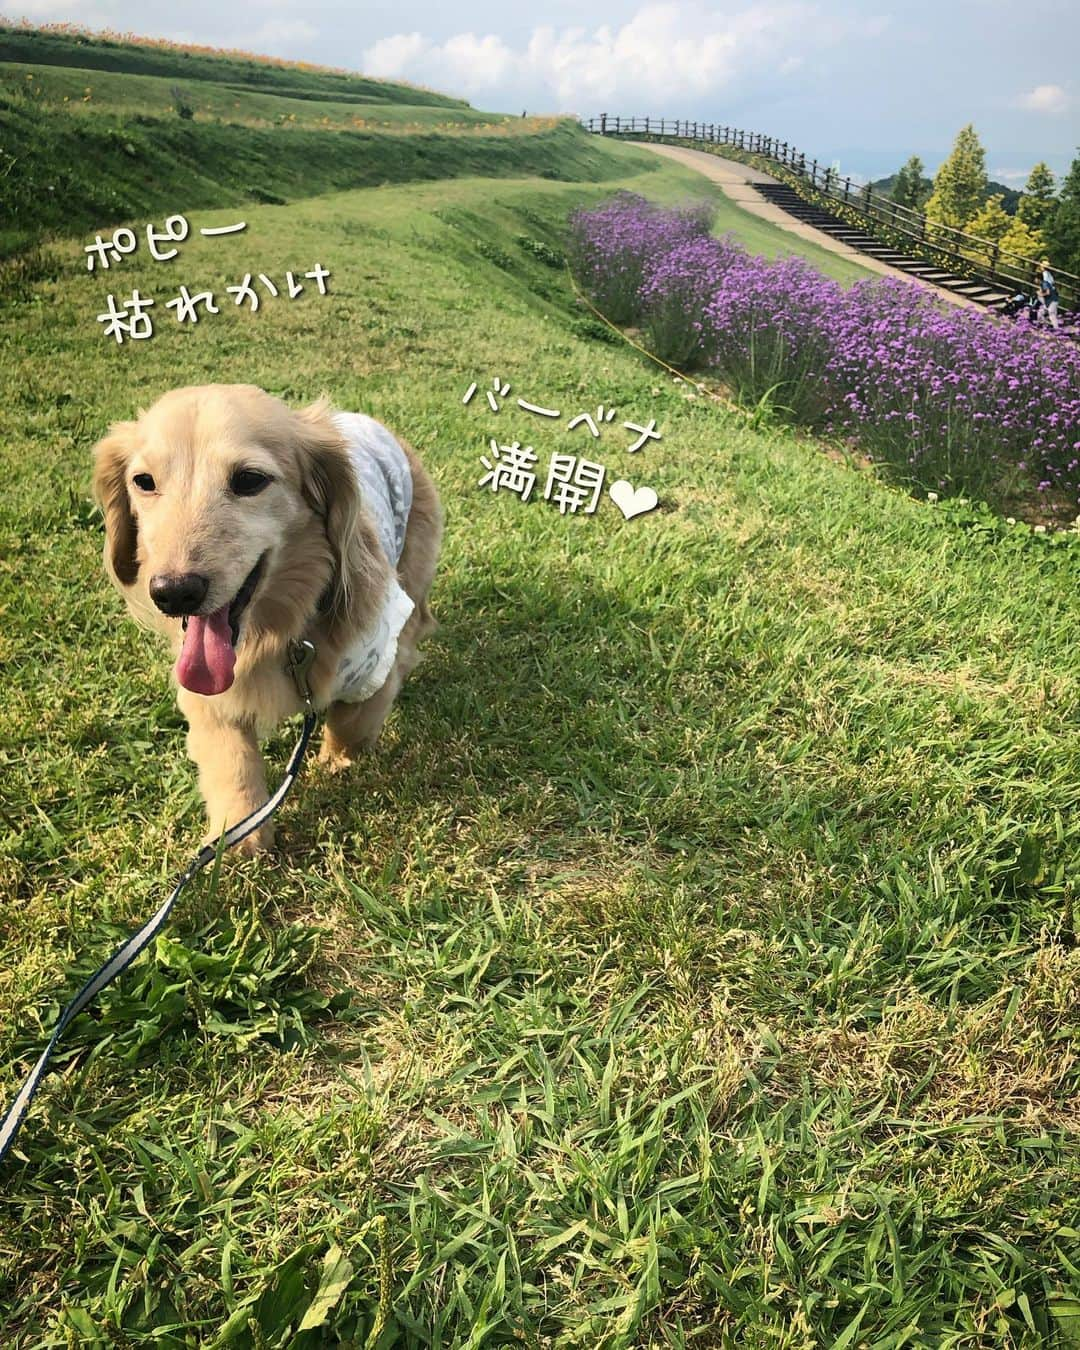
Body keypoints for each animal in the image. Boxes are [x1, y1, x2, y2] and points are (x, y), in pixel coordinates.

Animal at [91, 380, 442, 853]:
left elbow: (353, 722)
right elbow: (231, 759)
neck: (277, 631)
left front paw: (336, 763)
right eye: (143, 482)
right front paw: (241, 830)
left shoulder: (379, 659)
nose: (174, 593)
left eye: (250, 480)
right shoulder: (209, 695)